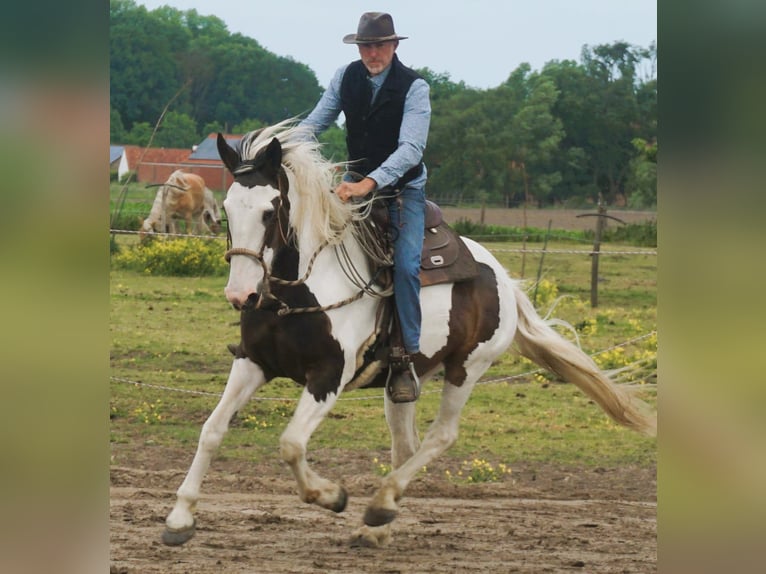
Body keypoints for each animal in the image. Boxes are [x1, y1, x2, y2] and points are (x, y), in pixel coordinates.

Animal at [162, 120, 656, 548]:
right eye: (227, 209)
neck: (298, 291)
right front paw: (180, 518)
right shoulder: (252, 362)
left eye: (270, 210)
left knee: (441, 437)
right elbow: (212, 430)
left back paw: (380, 506)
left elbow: (290, 444)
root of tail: (502, 280)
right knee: (407, 445)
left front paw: (333, 496)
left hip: (467, 369)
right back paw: (377, 526)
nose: (241, 294)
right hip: (403, 382)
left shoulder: (328, 376)